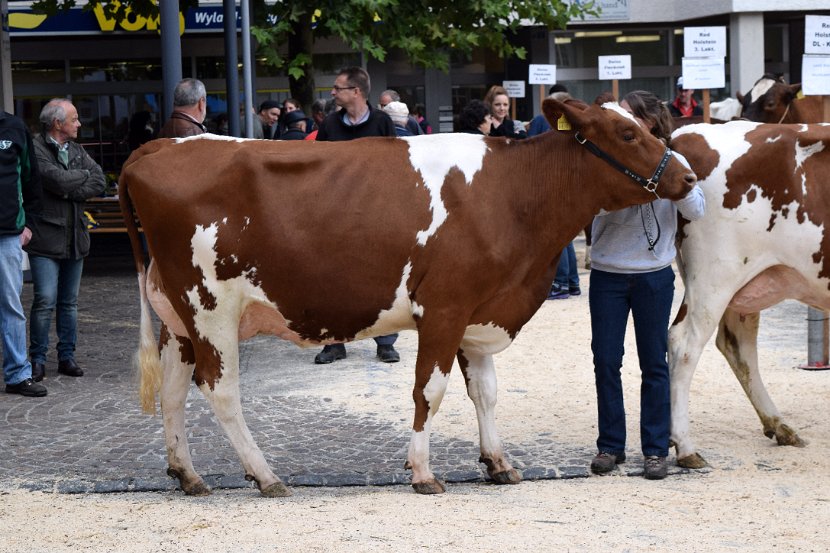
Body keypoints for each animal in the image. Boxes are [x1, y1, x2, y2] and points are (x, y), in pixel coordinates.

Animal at [120, 98, 700, 496]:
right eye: (627, 132)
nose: (688, 175)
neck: (513, 194)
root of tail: (158, 147)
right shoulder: (443, 308)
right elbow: (430, 391)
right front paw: (422, 471)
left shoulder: (479, 315)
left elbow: (485, 393)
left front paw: (498, 463)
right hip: (211, 307)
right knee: (219, 390)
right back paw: (265, 476)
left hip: (178, 316)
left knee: (173, 390)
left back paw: (188, 474)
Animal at [668, 119, 830, 466]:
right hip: (714, 276)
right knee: (684, 344)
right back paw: (685, 446)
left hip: (747, 285)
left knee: (737, 344)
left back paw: (779, 425)